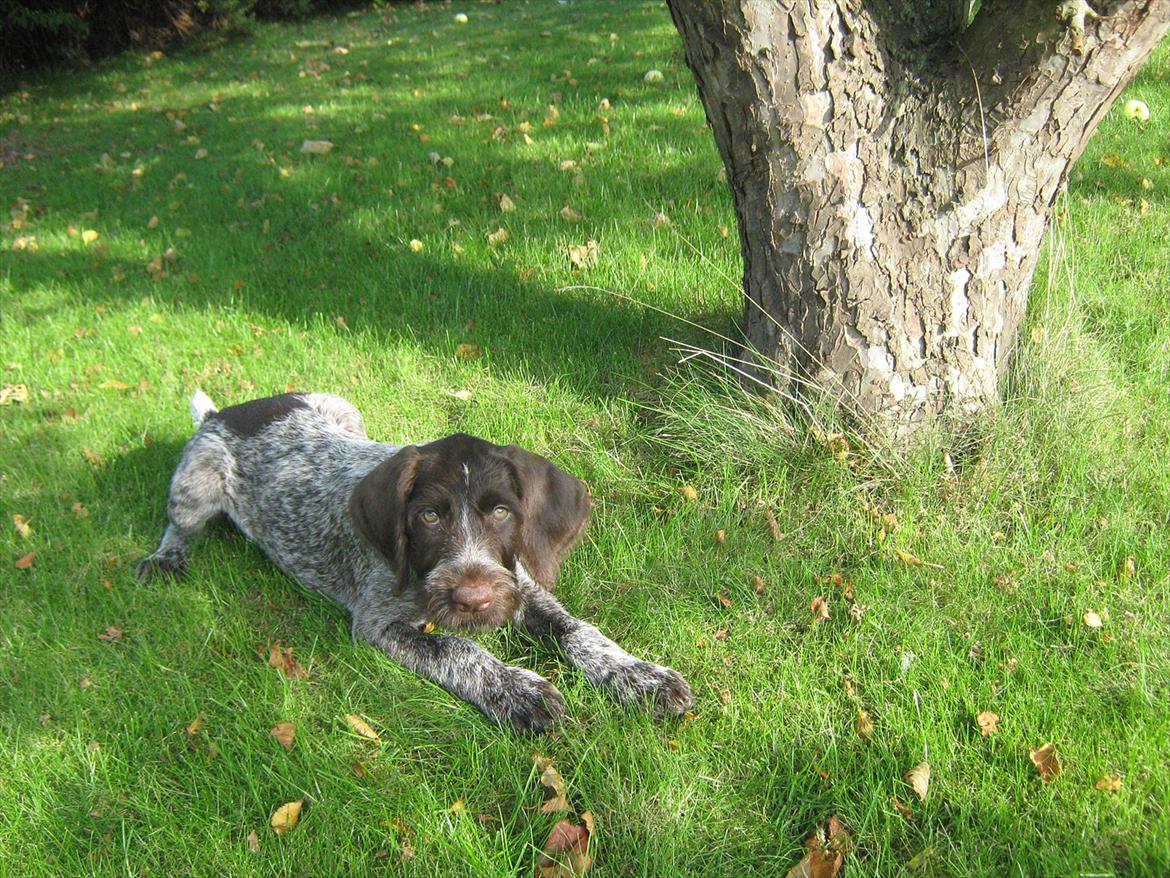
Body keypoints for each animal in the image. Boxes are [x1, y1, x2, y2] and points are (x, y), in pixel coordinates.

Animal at [134, 395, 692, 730]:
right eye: (427, 516)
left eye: (502, 513)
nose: (473, 599)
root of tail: (222, 413)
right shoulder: (379, 624)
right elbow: (459, 649)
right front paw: (518, 690)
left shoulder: (518, 583)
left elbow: (578, 631)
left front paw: (639, 676)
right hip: (199, 479)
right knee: (179, 524)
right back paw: (166, 558)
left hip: (342, 408)